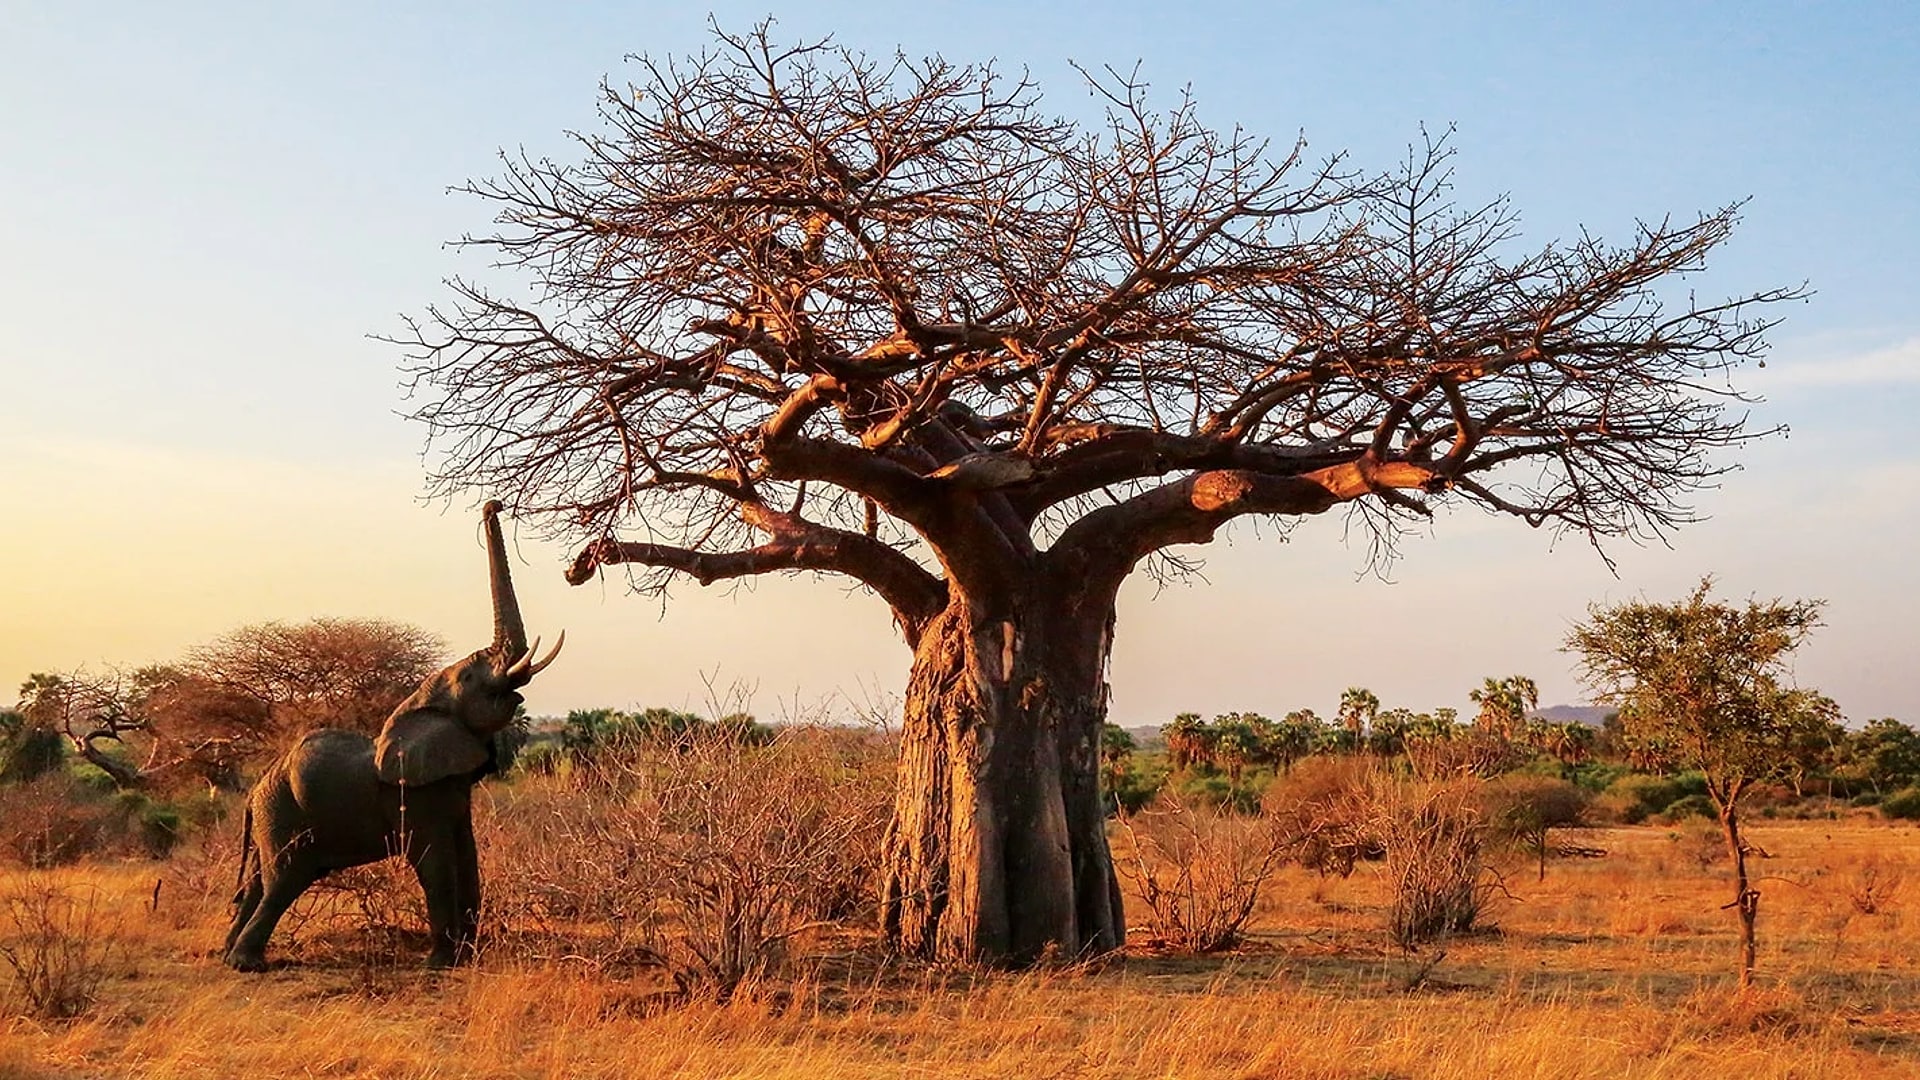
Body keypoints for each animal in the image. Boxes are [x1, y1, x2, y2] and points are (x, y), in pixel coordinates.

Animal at [222, 500, 563, 971]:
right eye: (470, 676)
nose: (491, 504)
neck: (419, 706)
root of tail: (256, 787)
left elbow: (467, 855)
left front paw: (465, 958)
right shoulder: (414, 796)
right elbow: (435, 862)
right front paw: (441, 963)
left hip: (271, 811)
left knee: (258, 881)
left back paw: (226, 956)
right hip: (284, 812)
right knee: (286, 876)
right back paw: (246, 964)